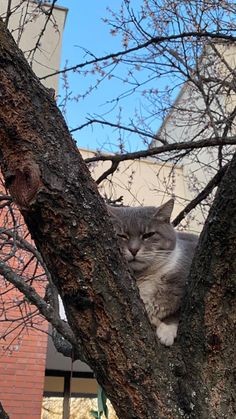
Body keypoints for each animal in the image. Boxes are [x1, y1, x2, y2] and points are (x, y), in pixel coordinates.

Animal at [108, 200, 198, 348]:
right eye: (121, 235)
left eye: (148, 235)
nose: (133, 249)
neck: (143, 277)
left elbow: (177, 313)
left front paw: (167, 331)